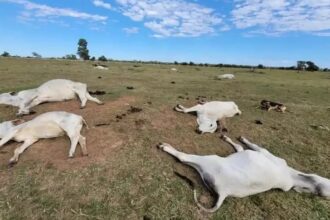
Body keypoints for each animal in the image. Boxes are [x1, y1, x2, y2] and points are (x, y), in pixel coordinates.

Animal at [158, 136, 330, 213]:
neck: (291, 175)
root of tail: (224, 193)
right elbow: (240, 147)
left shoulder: (263, 151)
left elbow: (250, 145)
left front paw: (241, 138)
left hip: (209, 159)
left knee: (183, 157)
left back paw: (166, 146)